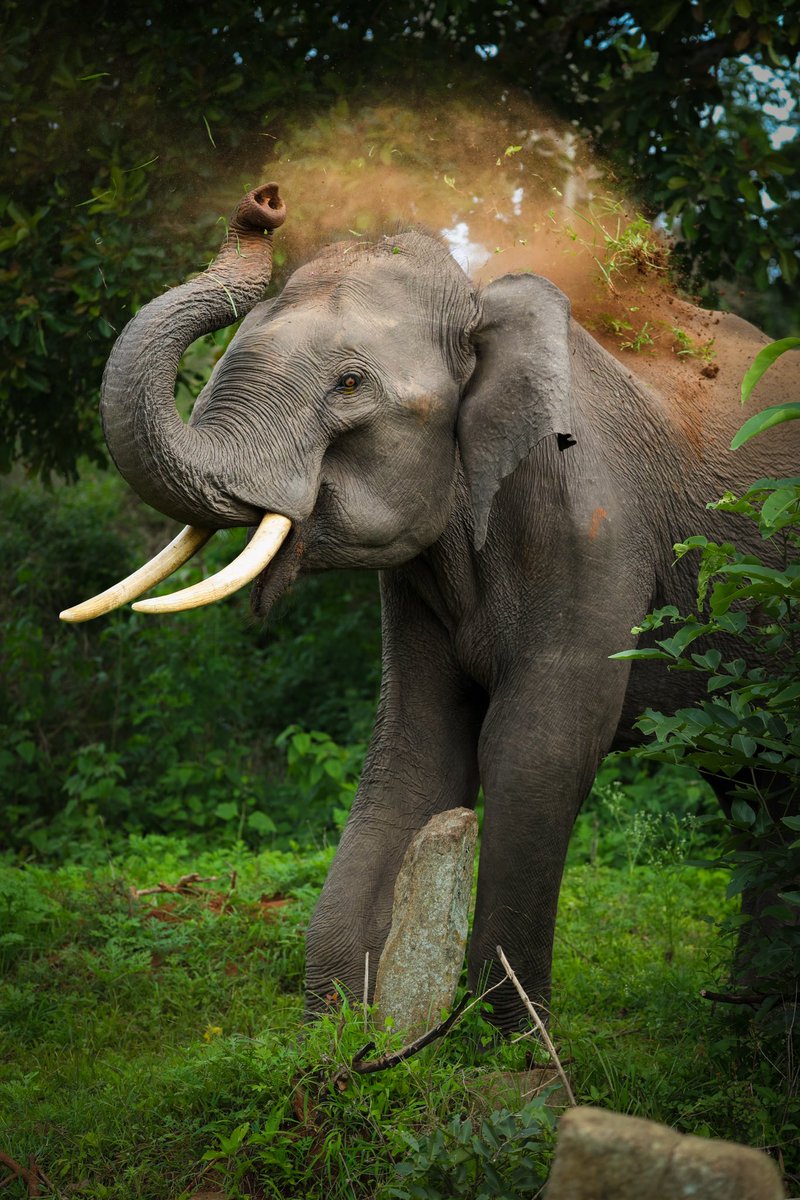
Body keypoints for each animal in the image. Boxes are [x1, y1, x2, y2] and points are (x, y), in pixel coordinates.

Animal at [62, 183, 799, 1031]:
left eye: (349, 385)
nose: (264, 204)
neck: (481, 307)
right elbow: (413, 748)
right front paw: (336, 1038)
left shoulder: (596, 526)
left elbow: (534, 748)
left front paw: (505, 1044)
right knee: (753, 783)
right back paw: (749, 1010)